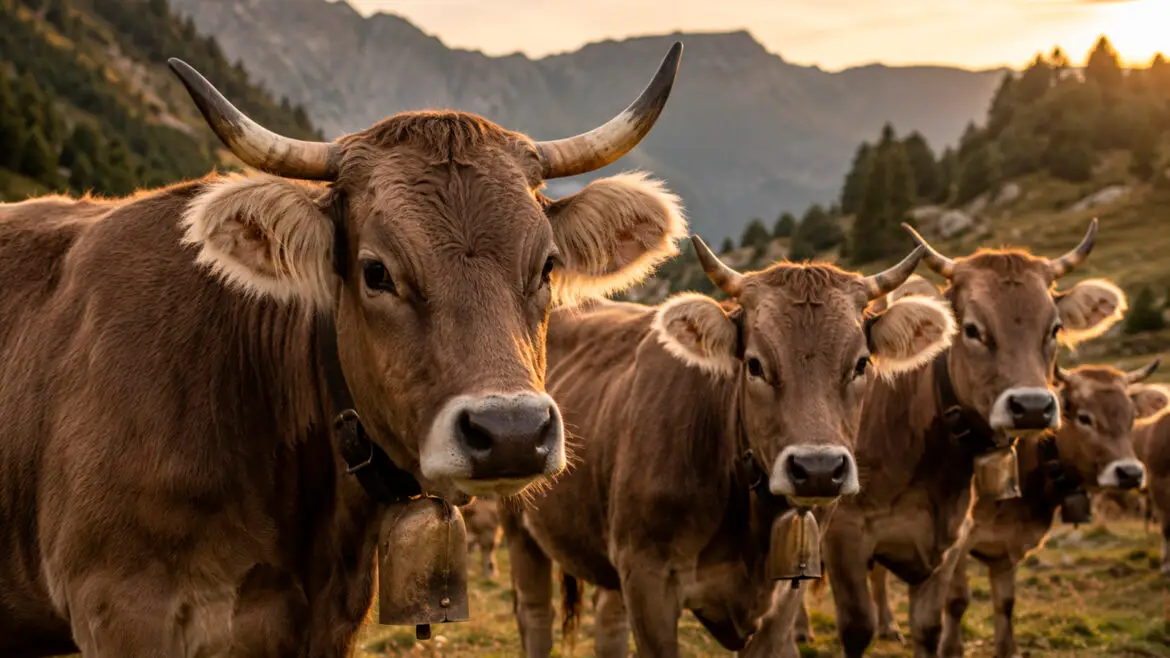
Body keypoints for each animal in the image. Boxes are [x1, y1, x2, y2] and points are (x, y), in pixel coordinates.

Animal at [502, 237, 960, 657]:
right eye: (755, 364)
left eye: (861, 363)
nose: (817, 469)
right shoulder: (647, 579)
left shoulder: (784, 597)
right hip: (521, 527)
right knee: (534, 616)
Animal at [821, 221, 1128, 658]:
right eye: (972, 330)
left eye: (1054, 328)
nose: (1032, 407)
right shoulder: (844, 535)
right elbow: (857, 627)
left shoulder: (948, 543)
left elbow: (931, 626)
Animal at [862, 361, 1159, 658]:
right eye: (1085, 418)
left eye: (1132, 418)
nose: (1130, 473)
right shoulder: (958, 541)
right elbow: (957, 600)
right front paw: (951, 648)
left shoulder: (1006, 546)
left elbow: (1006, 603)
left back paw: (886, 625)